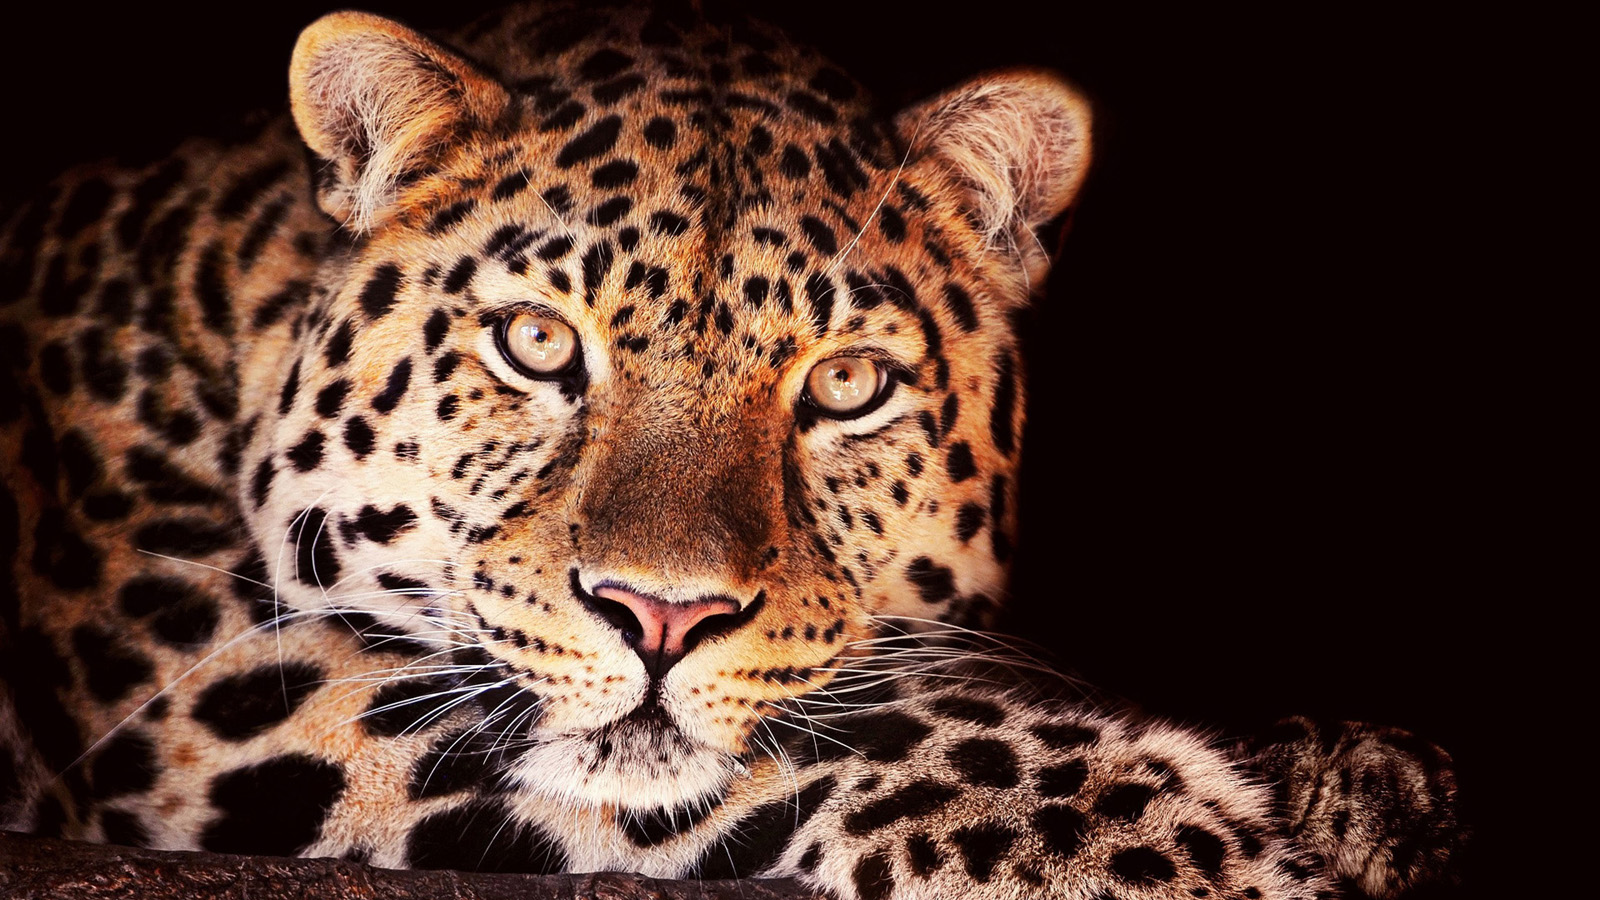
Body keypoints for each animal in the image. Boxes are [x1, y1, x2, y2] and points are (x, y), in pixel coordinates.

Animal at [0, 2, 1461, 898]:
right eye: (538, 343)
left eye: (848, 383)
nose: (661, 617)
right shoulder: (203, 682)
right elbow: (819, 732)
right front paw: (1141, 840)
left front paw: (1354, 781)